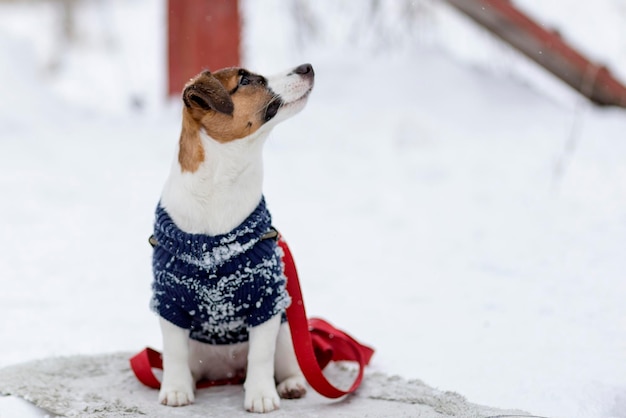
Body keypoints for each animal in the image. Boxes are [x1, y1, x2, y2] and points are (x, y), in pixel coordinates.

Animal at [149, 63, 314, 414]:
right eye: (247, 80)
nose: (307, 67)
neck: (222, 184)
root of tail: (226, 370)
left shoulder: (266, 299)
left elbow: (261, 355)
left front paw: (262, 395)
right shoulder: (170, 300)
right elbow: (174, 352)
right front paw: (175, 389)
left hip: (287, 333)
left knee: (287, 361)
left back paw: (291, 384)